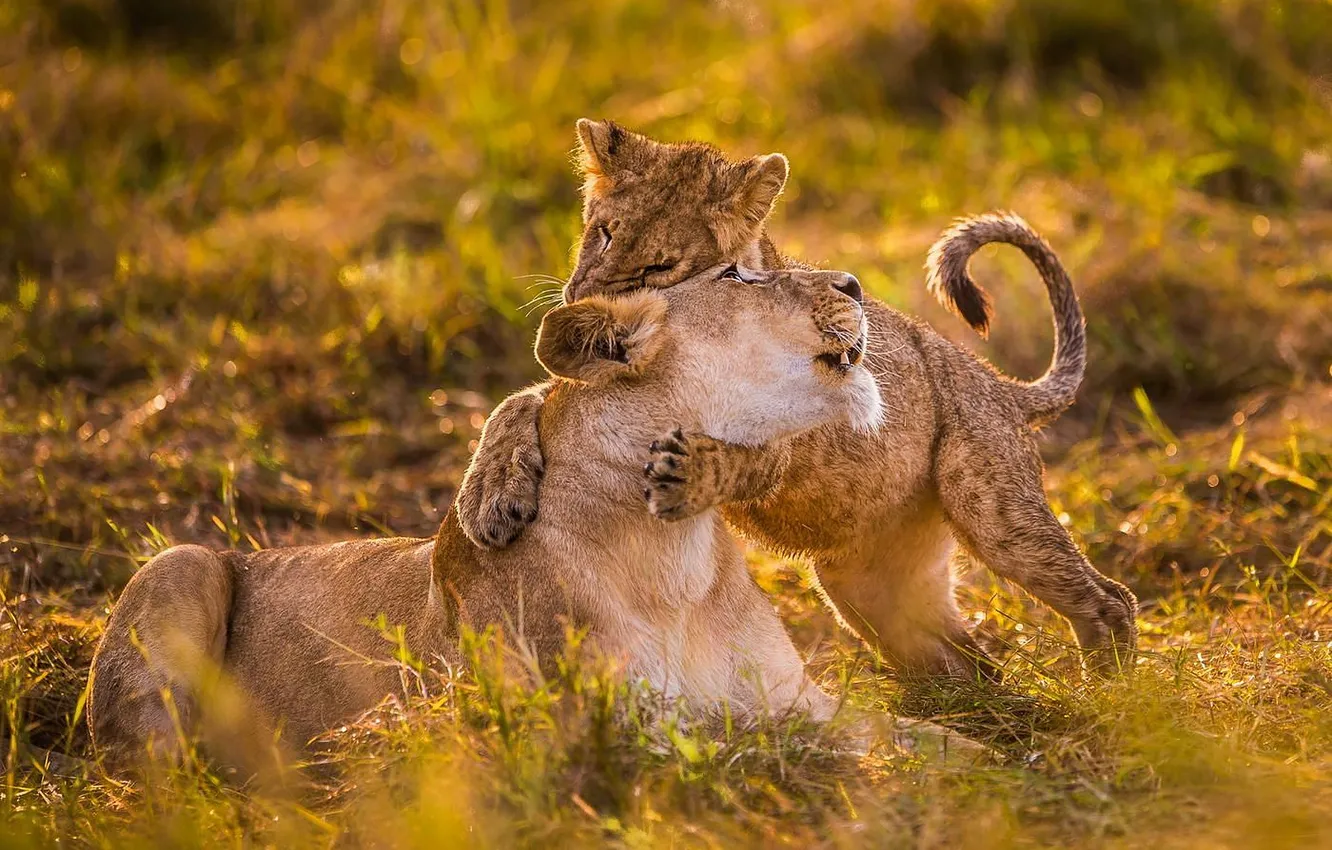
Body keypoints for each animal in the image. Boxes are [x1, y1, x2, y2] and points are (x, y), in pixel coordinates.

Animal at [86, 264, 890, 770]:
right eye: (736, 277)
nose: (855, 283)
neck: (674, 553)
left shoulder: (805, 698)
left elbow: (902, 733)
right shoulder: (591, 724)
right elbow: (753, 741)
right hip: (181, 563)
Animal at [455, 120, 1138, 680]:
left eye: (659, 267)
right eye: (601, 232)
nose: (582, 308)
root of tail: (1000, 385)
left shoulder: (802, 429)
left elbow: (746, 456)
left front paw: (690, 472)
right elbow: (519, 400)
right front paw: (489, 499)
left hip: (991, 507)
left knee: (1110, 598)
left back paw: (1113, 697)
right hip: (863, 585)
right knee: (966, 658)